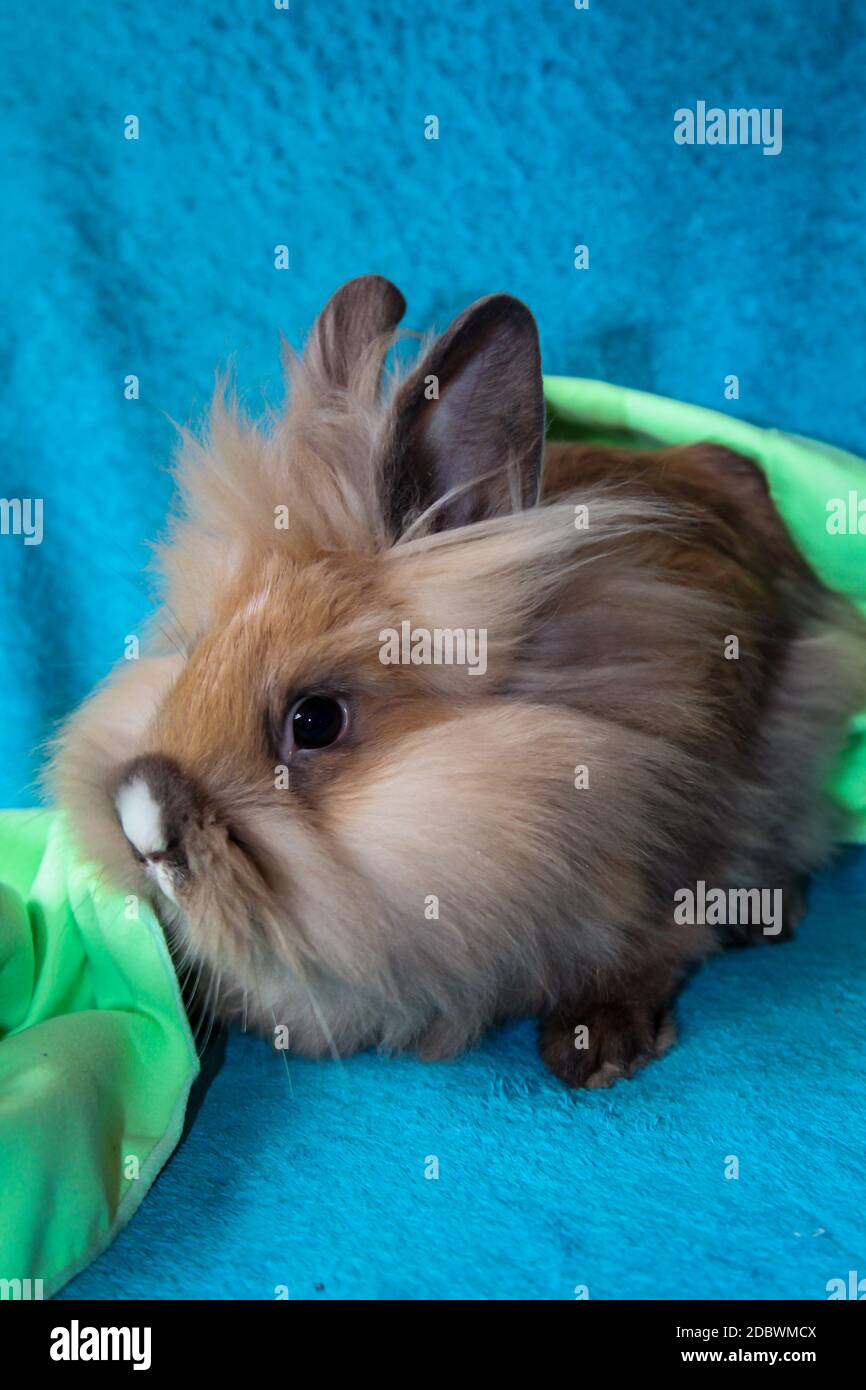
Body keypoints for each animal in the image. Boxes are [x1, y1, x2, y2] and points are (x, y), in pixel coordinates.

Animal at [48, 276, 866, 1089]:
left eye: (316, 721)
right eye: (194, 656)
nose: (143, 831)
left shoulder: (687, 851)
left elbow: (652, 950)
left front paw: (596, 1049)